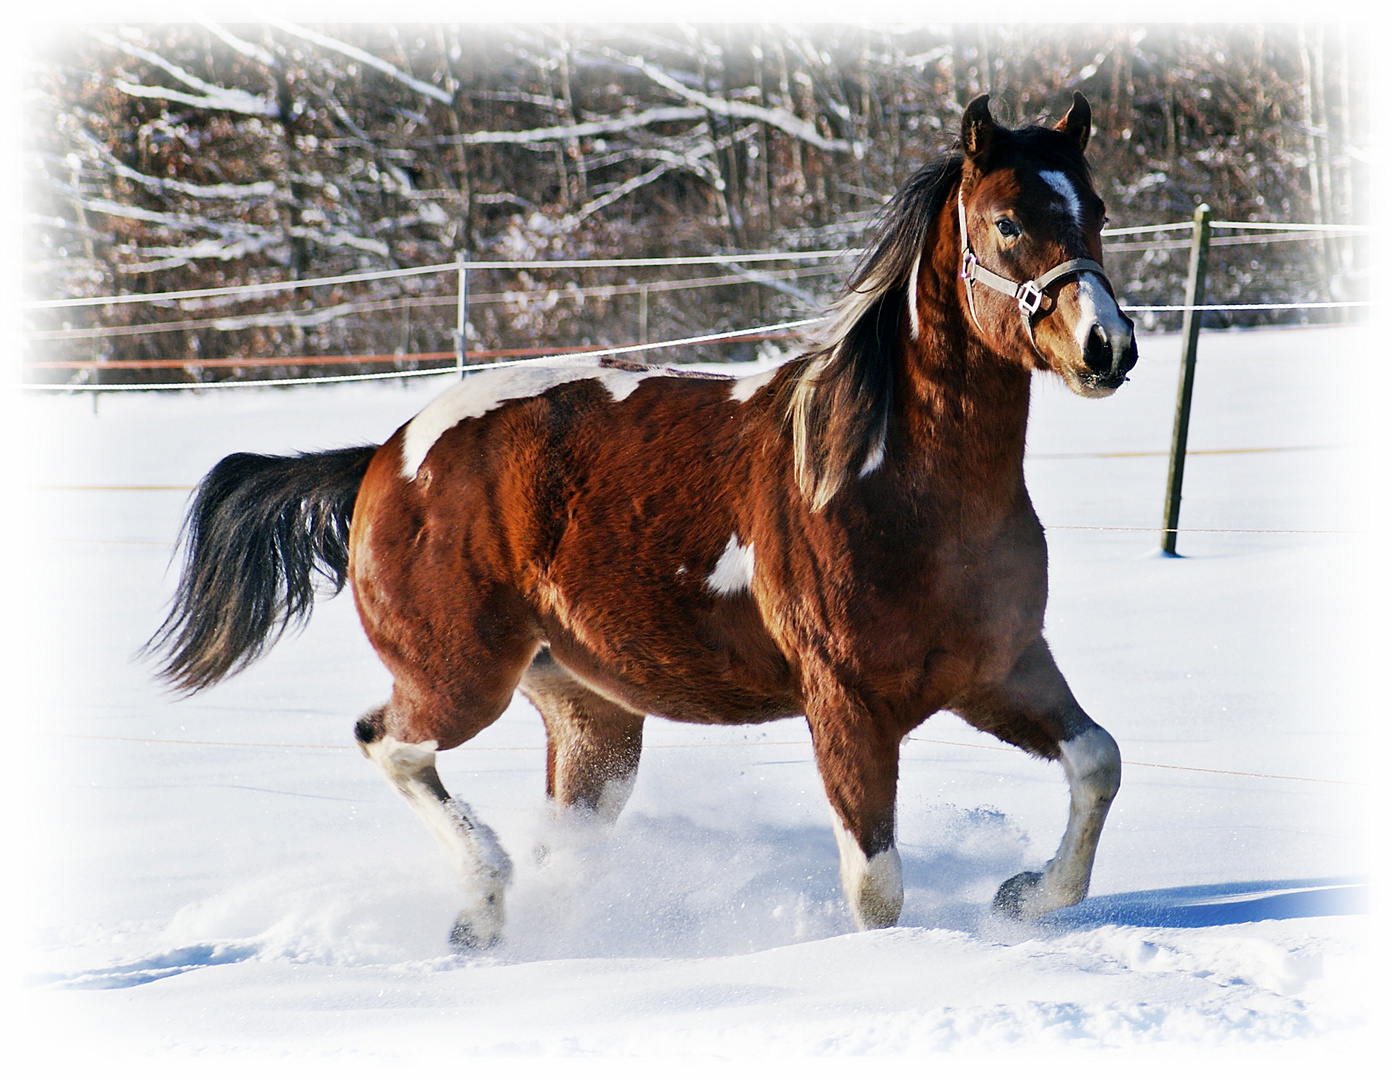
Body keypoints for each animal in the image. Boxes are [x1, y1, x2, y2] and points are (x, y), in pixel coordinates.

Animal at [152, 92, 1135, 951]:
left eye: (1095, 212)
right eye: (1007, 223)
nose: (1108, 347)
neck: (896, 487)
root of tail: (385, 457)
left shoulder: (999, 669)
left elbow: (1099, 761)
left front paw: (1022, 896)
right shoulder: (846, 705)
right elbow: (876, 890)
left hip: (590, 714)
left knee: (557, 829)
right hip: (459, 678)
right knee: (385, 745)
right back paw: (482, 906)